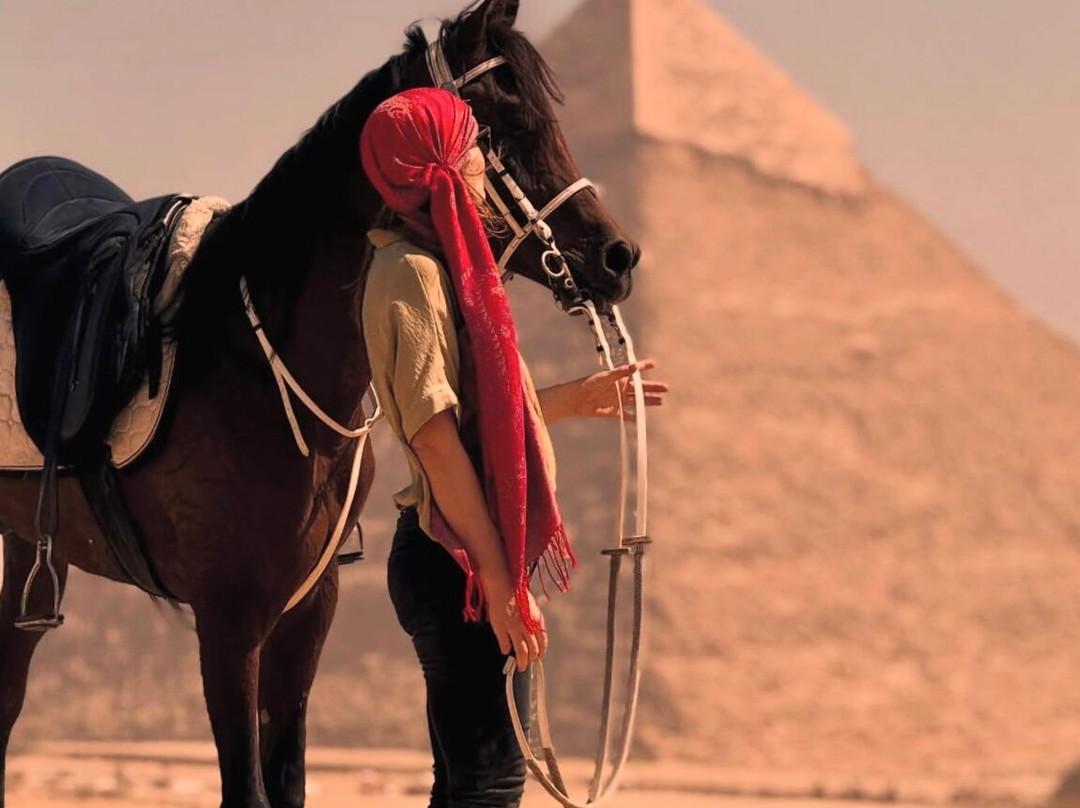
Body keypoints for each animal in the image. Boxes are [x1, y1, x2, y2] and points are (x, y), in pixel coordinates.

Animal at [0, 1, 639, 806]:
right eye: (509, 121)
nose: (619, 257)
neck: (263, 368)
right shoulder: (227, 617)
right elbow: (246, 787)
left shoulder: (310, 610)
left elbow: (289, 779)